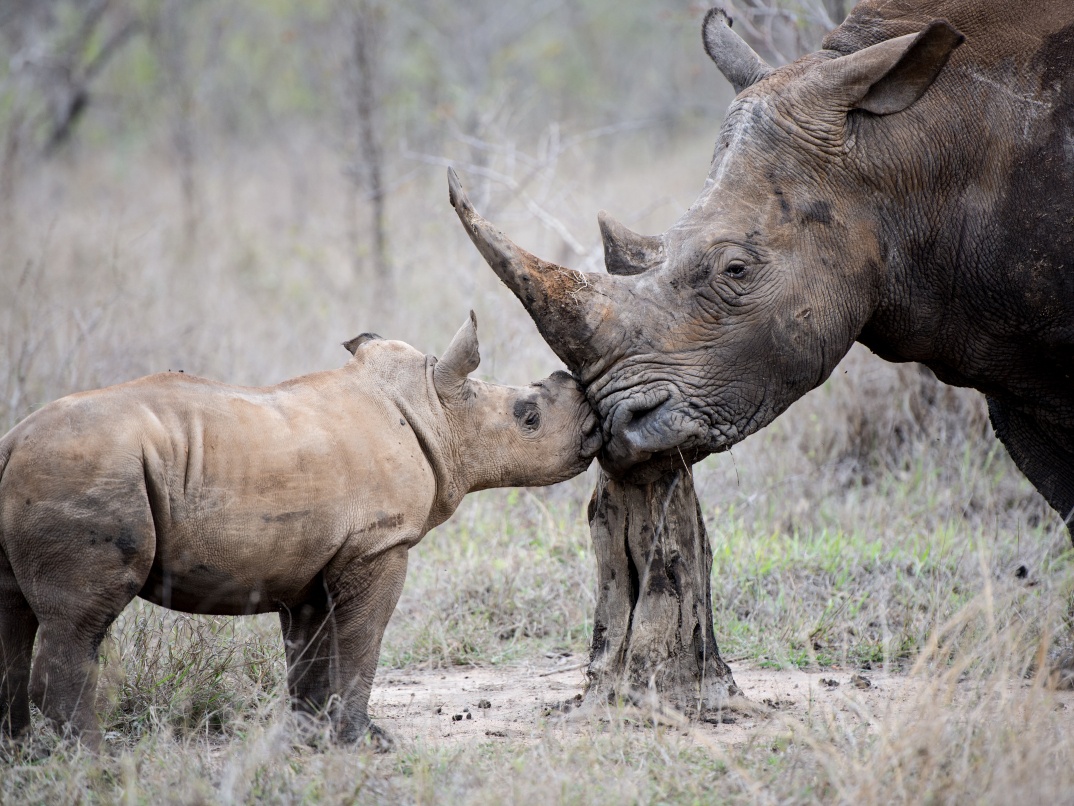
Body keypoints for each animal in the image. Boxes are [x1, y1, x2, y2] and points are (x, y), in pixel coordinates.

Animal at [0, 311, 605, 752]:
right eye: (528, 416)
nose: (592, 421)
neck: (434, 411)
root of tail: (13, 442)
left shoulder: (310, 563)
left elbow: (310, 654)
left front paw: (308, 739)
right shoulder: (379, 545)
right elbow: (362, 642)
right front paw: (367, 743)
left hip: (54, 471)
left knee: (16, 616)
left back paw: (23, 754)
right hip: (87, 471)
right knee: (81, 621)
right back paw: (91, 760)